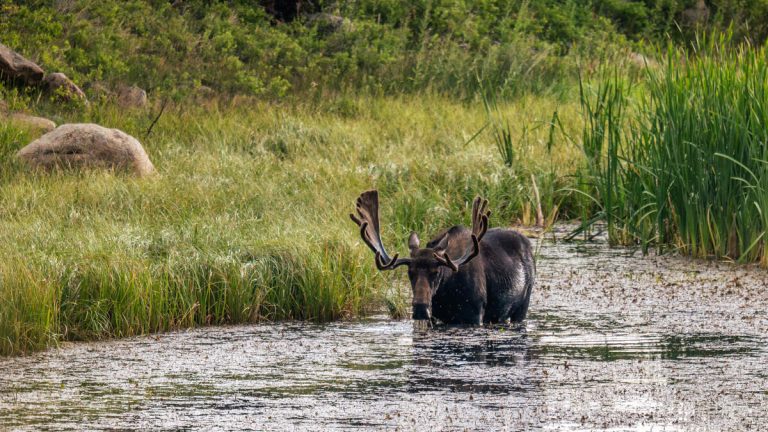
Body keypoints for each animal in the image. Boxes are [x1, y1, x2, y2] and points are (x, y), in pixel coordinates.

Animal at [350, 190, 535, 325]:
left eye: (436, 272)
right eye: (410, 273)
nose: (420, 309)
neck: (447, 294)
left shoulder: (476, 316)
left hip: (523, 306)